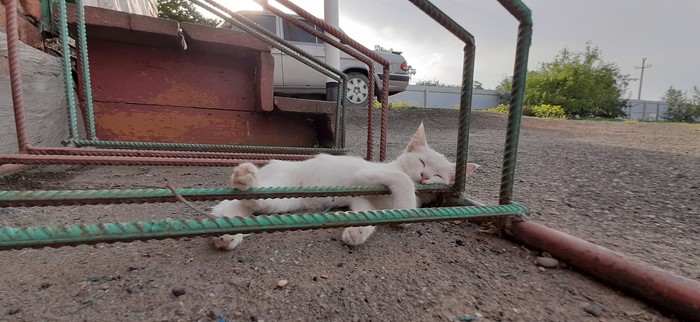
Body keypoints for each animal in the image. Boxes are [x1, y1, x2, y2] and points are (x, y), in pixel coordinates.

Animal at [211, 123, 478, 249]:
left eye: (438, 175)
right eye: (421, 162)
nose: (423, 176)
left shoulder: (362, 199)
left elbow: (367, 211)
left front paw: (357, 232)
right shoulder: (366, 175)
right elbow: (402, 180)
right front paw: (405, 210)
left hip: (285, 202)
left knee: (250, 205)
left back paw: (229, 235)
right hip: (283, 183)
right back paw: (246, 178)